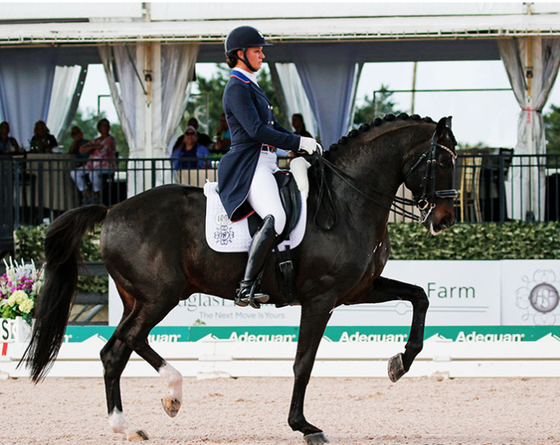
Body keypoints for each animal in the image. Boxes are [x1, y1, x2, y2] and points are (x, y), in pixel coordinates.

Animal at [24, 115, 458, 444]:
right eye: (440, 162)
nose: (445, 220)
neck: (347, 200)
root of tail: (112, 209)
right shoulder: (321, 298)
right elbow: (304, 362)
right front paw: (305, 427)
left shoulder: (357, 290)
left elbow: (420, 297)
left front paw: (400, 362)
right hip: (158, 296)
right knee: (119, 348)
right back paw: (136, 418)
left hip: (143, 298)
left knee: (122, 346)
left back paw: (159, 404)